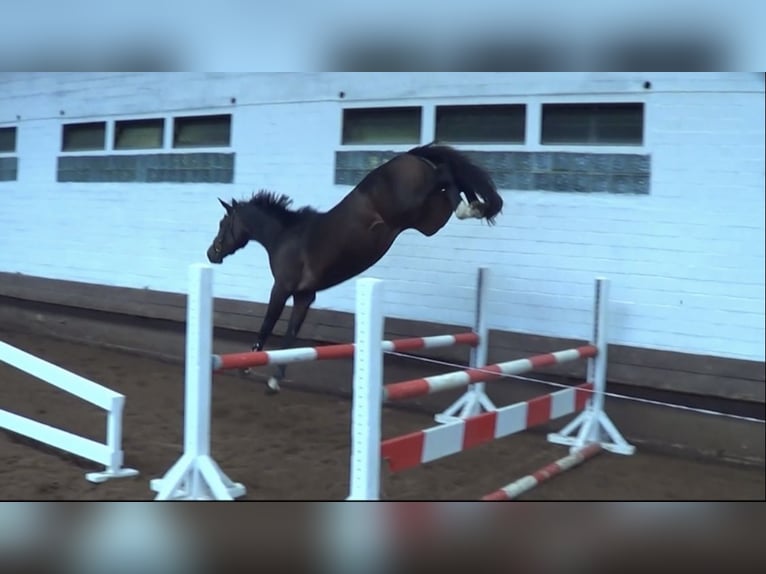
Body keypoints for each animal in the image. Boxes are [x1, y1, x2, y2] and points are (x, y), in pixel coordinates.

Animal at [207, 144, 504, 396]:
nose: (212, 253)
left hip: (415, 204)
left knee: (445, 174)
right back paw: (476, 206)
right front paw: (274, 380)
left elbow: (267, 325)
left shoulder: (281, 289)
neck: (284, 236)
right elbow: (291, 337)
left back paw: (471, 206)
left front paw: (247, 364)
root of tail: (409, 155)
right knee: (452, 183)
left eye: (223, 223)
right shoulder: (304, 296)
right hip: (429, 217)